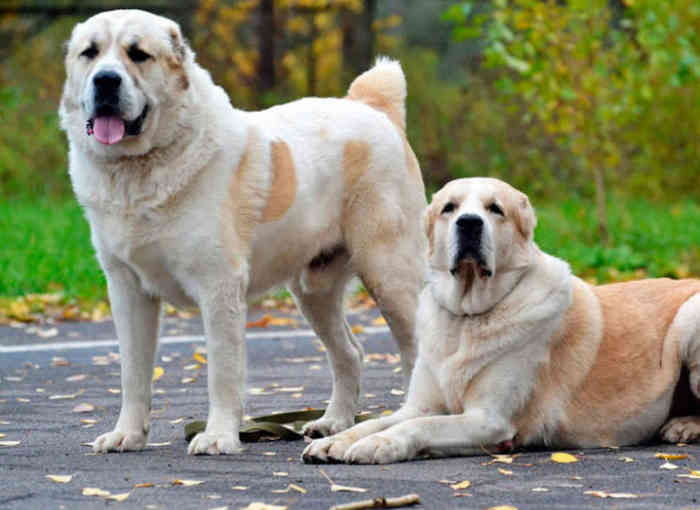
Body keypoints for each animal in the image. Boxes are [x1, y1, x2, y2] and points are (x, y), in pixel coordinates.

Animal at [304, 177, 700, 464]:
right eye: (449, 208)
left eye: (496, 209)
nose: (469, 223)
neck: (468, 316)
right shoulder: (420, 404)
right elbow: (383, 419)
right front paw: (337, 440)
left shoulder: (488, 420)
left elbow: (421, 425)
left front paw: (379, 445)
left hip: (688, 319)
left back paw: (684, 427)